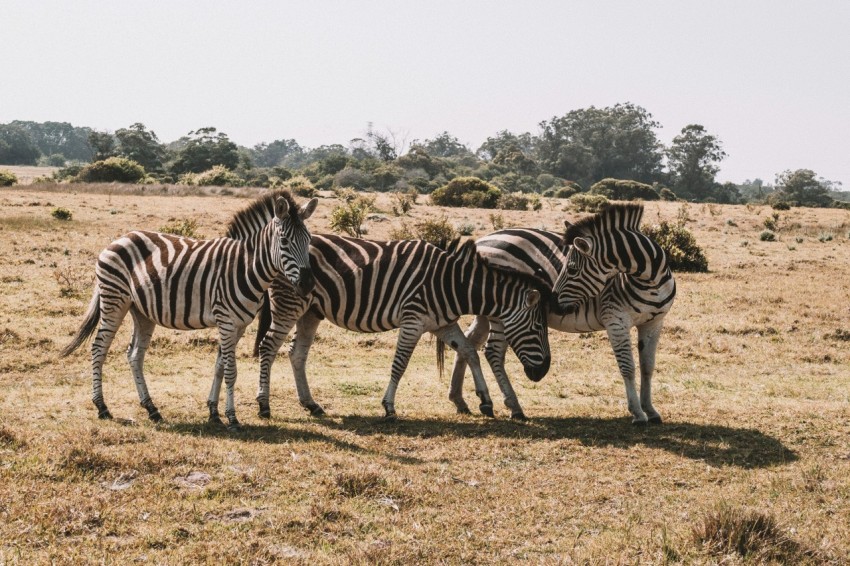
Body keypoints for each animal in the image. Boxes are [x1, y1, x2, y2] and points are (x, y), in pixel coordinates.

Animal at [58, 191, 318, 430]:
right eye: (284, 242)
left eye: (309, 240)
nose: (307, 284)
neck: (245, 266)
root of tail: (120, 238)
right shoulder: (226, 320)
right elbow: (231, 370)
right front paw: (232, 418)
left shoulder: (239, 325)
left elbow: (220, 366)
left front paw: (213, 412)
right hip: (114, 299)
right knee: (99, 348)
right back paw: (102, 407)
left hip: (141, 311)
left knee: (134, 355)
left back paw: (151, 409)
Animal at [222, 206, 548, 420]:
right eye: (536, 329)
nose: (541, 373)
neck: (451, 282)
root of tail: (268, 251)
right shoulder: (413, 319)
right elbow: (400, 364)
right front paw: (389, 406)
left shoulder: (442, 323)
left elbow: (469, 351)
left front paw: (484, 401)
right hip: (290, 305)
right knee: (268, 347)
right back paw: (264, 405)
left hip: (311, 311)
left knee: (296, 354)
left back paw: (311, 404)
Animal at [448, 204, 672, 426]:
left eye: (571, 269)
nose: (553, 302)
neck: (649, 283)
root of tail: (480, 241)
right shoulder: (616, 320)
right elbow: (628, 367)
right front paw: (637, 413)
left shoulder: (654, 322)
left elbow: (647, 367)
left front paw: (651, 410)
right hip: (501, 311)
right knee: (493, 352)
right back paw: (514, 406)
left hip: (485, 310)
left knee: (469, 342)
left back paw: (463, 400)